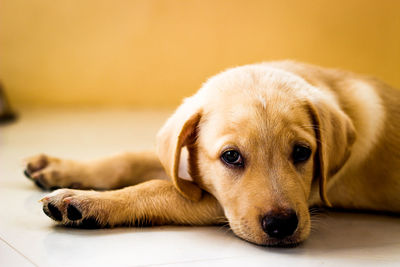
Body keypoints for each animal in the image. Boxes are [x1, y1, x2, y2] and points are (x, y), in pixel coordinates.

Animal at [24, 60, 400, 247]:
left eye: (302, 152)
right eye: (231, 157)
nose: (282, 226)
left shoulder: (221, 203)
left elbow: (158, 188)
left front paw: (85, 202)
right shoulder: (186, 162)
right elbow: (129, 159)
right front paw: (60, 168)